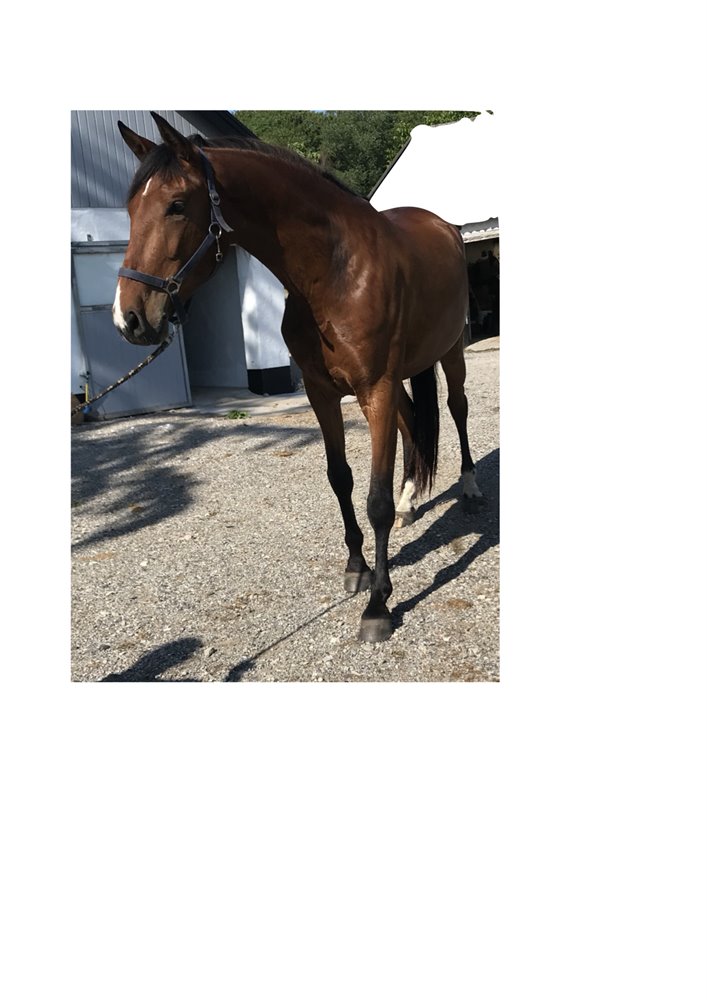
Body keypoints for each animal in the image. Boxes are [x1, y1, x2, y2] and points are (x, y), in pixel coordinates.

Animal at [112, 112, 483, 643]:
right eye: (128, 209)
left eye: (176, 206)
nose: (130, 319)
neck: (335, 271)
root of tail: (444, 226)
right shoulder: (322, 392)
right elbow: (340, 478)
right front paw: (357, 567)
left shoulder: (375, 389)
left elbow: (375, 500)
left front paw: (378, 604)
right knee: (414, 421)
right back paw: (412, 500)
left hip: (450, 353)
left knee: (456, 408)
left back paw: (469, 486)